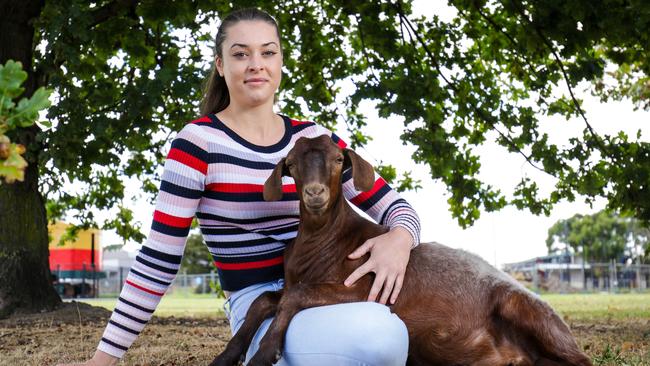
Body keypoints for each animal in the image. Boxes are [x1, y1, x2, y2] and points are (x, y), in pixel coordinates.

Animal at [210, 135, 588, 366]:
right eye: (291, 163)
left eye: (338, 159)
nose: (315, 193)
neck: (324, 239)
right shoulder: (293, 283)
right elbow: (266, 299)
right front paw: (227, 356)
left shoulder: (362, 285)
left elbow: (296, 296)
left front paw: (264, 354)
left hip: (522, 307)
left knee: (579, 359)